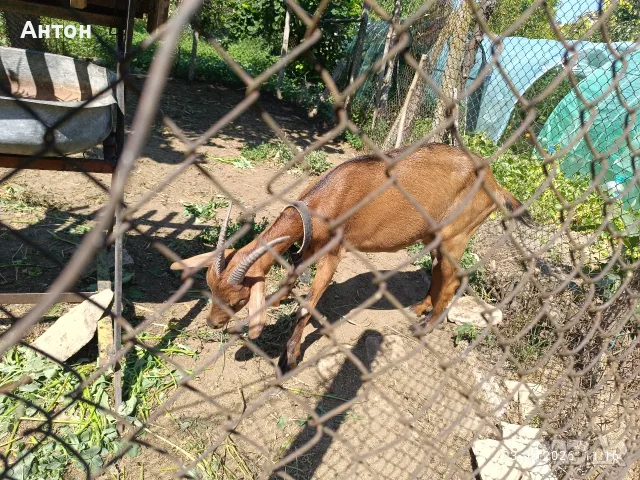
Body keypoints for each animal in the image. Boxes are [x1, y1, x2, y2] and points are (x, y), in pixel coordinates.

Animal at [171, 144, 530, 372]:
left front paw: (289, 360)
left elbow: (308, 305)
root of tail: (496, 183)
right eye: (210, 288)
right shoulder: (306, 249)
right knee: (439, 271)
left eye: (238, 298)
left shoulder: (333, 253)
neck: (323, 203)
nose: (212, 323)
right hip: (434, 235)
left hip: (457, 234)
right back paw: (420, 308)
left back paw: (426, 326)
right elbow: (288, 285)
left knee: (453, 277)